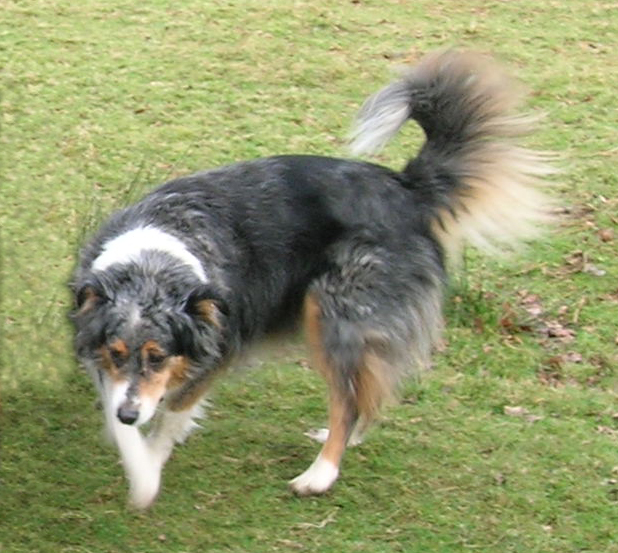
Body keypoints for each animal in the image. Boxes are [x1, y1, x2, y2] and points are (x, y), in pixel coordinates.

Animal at [71, 49, 548, 506]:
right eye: (116, 352)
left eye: (159, 356)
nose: (128, 415)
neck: (153, 260)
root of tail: (407, 188)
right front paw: (132, 445)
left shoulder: (214, 349)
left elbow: (167, 420)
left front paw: (147, 476)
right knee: (365, 392)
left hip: (335, 315)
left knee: (347, 401)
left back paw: (320, 474)